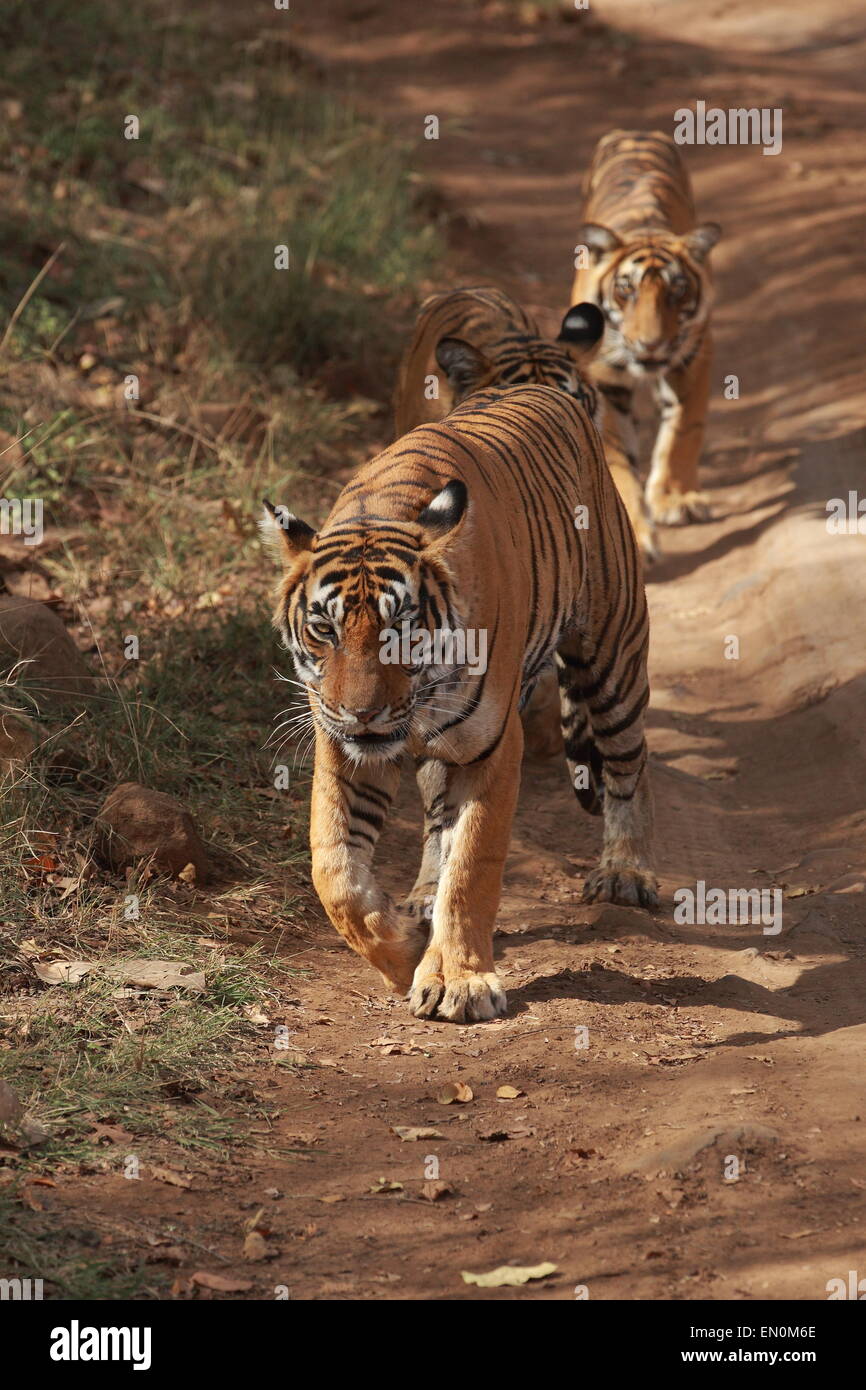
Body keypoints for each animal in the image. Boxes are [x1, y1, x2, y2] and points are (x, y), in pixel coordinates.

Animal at [262, 380, 656, 1023]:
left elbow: (471, 865)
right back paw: (423, 898)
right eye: (324, 629)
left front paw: (461, 982)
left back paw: (625, 872)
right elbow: (335, 871)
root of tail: (548, 385)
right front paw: (402, 954)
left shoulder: (491, 746)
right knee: (434, 819)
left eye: (400, 628)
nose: (362, 713)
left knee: (630, 765)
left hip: (612, 657)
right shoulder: (342, 748)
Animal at [572, 126, 722, 558]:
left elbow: (684, 429)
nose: (651, 344)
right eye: (627, 290)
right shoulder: (603, 378)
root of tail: (633, 131)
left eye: (677, 291)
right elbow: (617, 458)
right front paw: (637, 533)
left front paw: (676, 499)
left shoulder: (694, 356)